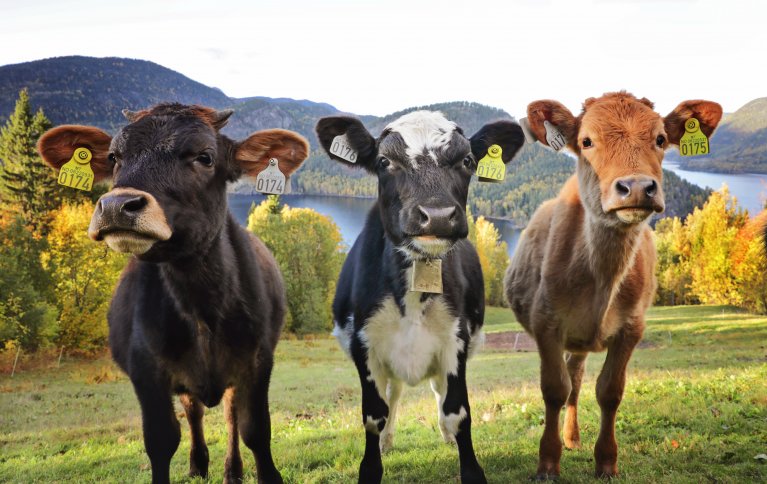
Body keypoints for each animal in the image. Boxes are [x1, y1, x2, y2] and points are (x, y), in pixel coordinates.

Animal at [37, 105, 308, 484]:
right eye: (114, 157)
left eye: (204, 156)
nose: (117, 205)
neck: (201, 303)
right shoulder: (145, 370)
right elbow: (161, 439)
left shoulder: (258, 360)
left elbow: (254, 429)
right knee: (194, 412)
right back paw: (198, 465)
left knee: (229, 415)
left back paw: (232, 470)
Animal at [316, 110, 524, 484]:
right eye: (384, 161)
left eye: (467, 161)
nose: (437, 215)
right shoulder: (363, 344)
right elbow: (374, 414)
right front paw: (372, 466)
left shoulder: (456, 340)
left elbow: (458, 411)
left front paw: (469, 466)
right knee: (393, 395)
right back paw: (387, 441)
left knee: (437, 393)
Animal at [508, 92, 724, 478]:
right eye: (586, 141)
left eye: (660, 139)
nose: (637, 187)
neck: (600, 279)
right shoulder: (545, 323)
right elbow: (553, 389)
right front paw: (547, 462)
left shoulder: (632, 327)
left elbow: (610, 391)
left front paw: (606, 462)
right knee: (570, 381)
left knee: (577, 378)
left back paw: (573, 437)